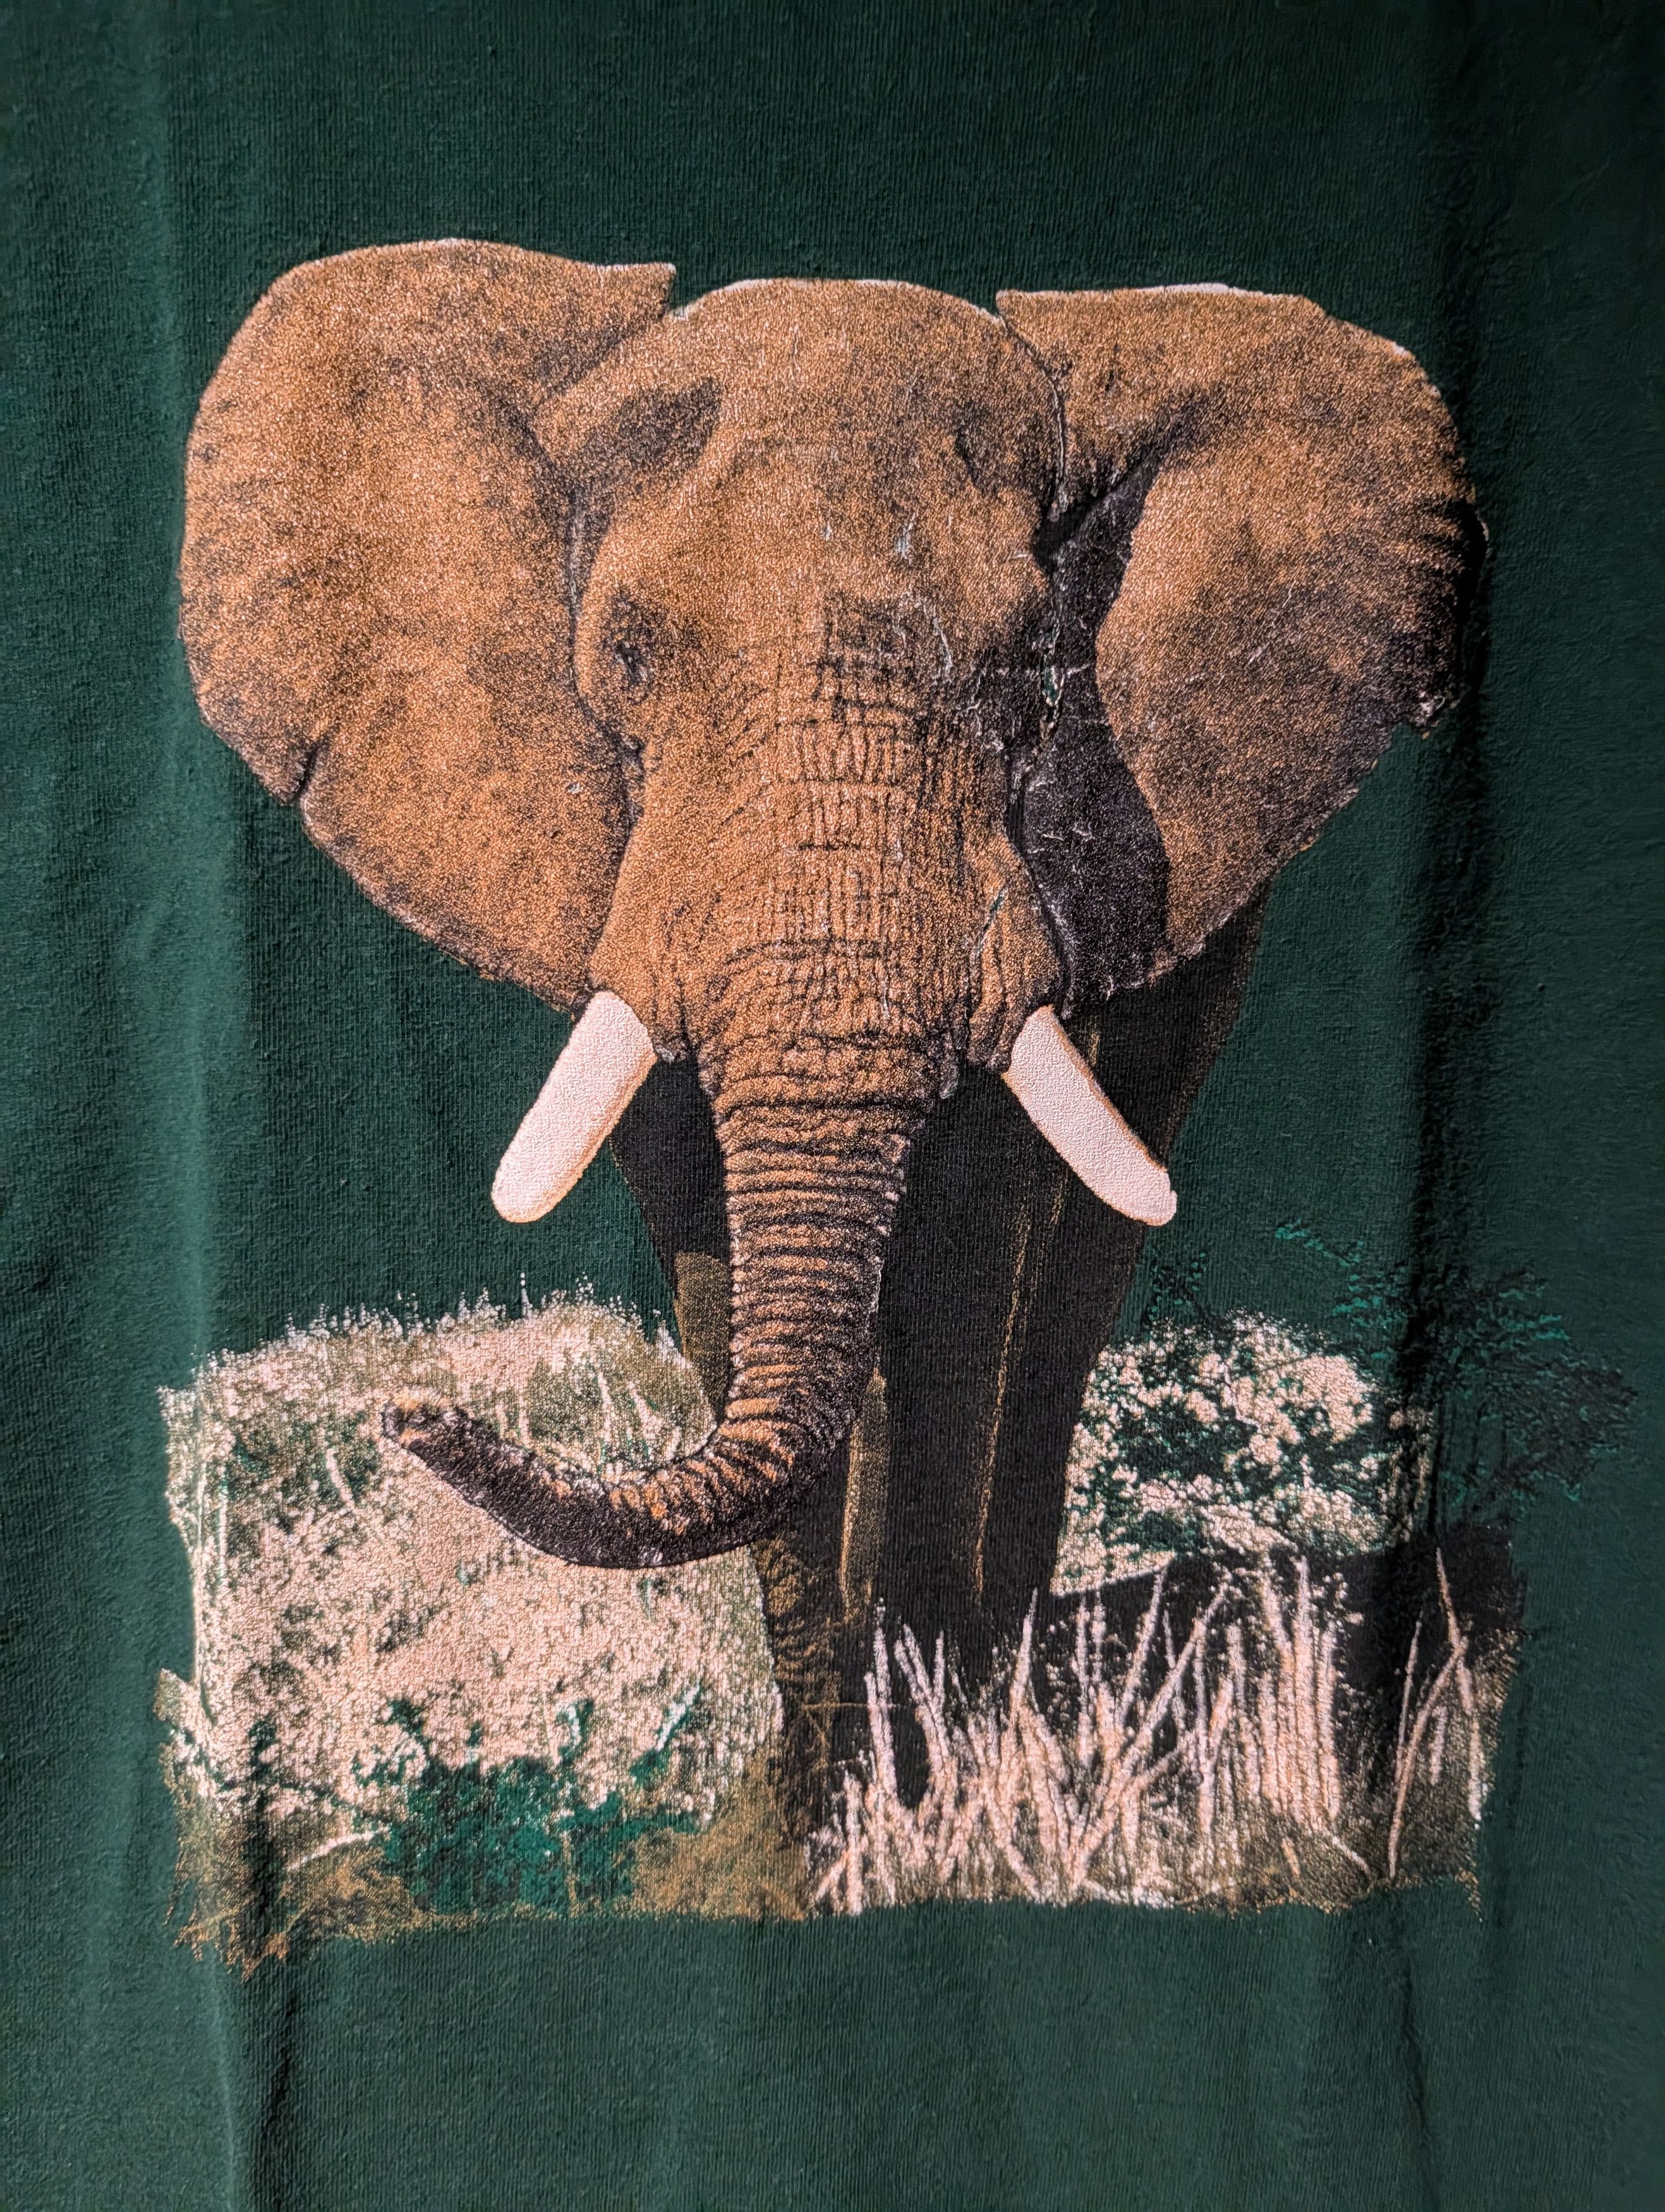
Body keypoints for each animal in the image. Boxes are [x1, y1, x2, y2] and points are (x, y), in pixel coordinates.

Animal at [179, 244, 1477, 1827]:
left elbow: (973, 1248)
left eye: (1030, 672)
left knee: (1076, 1278)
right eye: (623, 659)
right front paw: (823, 1802)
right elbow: (715, 1258)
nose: (412, 1413)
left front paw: (932, 1792)